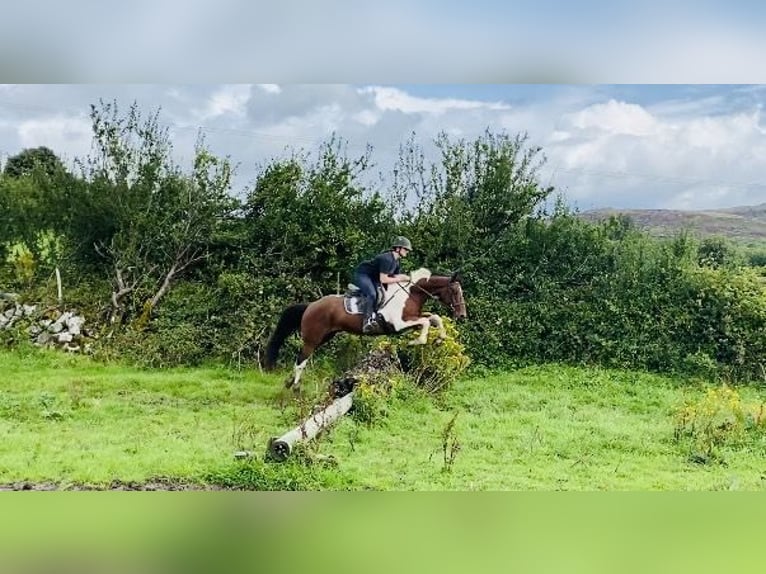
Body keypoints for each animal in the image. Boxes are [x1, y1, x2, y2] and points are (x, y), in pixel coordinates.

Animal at [264, 270, 468, 392]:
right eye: (455, 292)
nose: (462, 315)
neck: (411, 295)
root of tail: (311, 305)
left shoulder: (412, 318)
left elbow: (434, 318)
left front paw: (441, 338)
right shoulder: (399, 325)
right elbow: (426, 322)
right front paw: (419, 341)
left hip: (325, 336)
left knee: (301, 358)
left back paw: (290, 382)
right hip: (312, 339)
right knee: (301, 360)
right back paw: (295, 387)